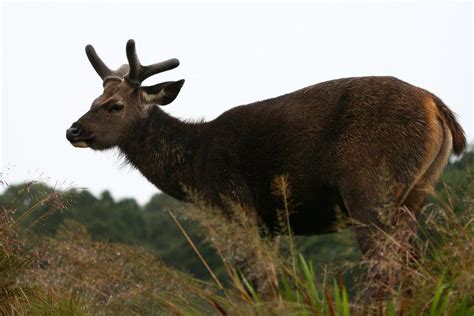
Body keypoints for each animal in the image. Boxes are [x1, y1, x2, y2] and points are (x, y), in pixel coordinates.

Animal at [65, 40, 464, 298]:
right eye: (93, 99)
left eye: (114, 106)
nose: (73, 130)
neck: (195, 164)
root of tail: (437, 107)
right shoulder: (268, 223)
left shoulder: (236, 204)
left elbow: (260, 284)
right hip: (415, 194)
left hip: (369, 189)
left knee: (385, 268)